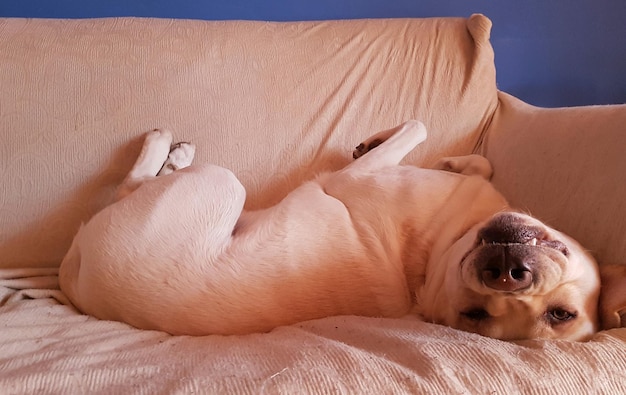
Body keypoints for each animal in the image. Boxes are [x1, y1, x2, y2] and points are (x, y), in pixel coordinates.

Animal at [58, 122, 616, 342]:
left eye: (473, 313)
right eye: (561, 312)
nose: (507, 273)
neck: (434, 257)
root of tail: (74, 277)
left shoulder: (350, 179)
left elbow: (415, 126)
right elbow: (477, 160)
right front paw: (451, 160)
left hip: (219, 183)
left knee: (129, 186)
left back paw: (168, 151)